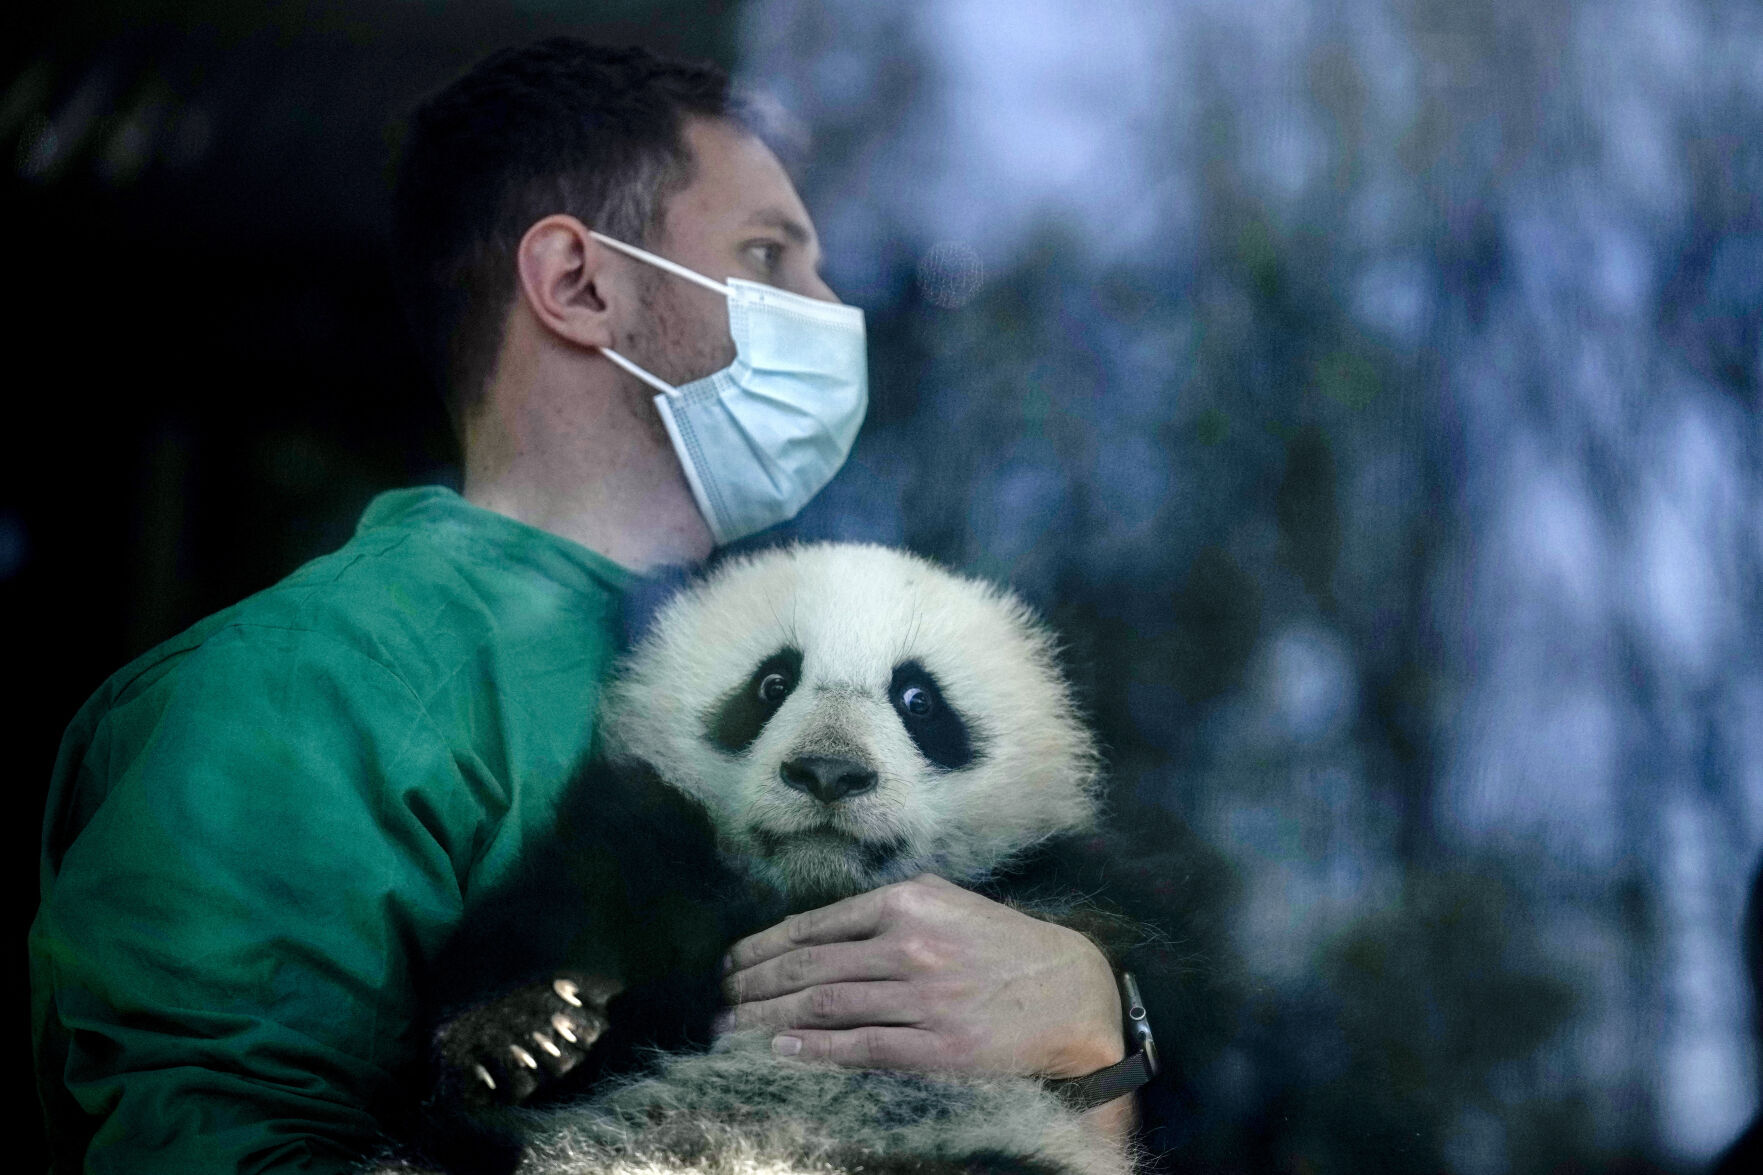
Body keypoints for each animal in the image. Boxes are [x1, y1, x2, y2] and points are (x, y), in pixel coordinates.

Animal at [378, 543, 1221, 1175]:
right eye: (771, 682)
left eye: (919, 700)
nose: (827, 772)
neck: (810, 895)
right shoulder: (648, 848)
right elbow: (542, 921)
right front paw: (517, 1032)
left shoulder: (1063, 883)